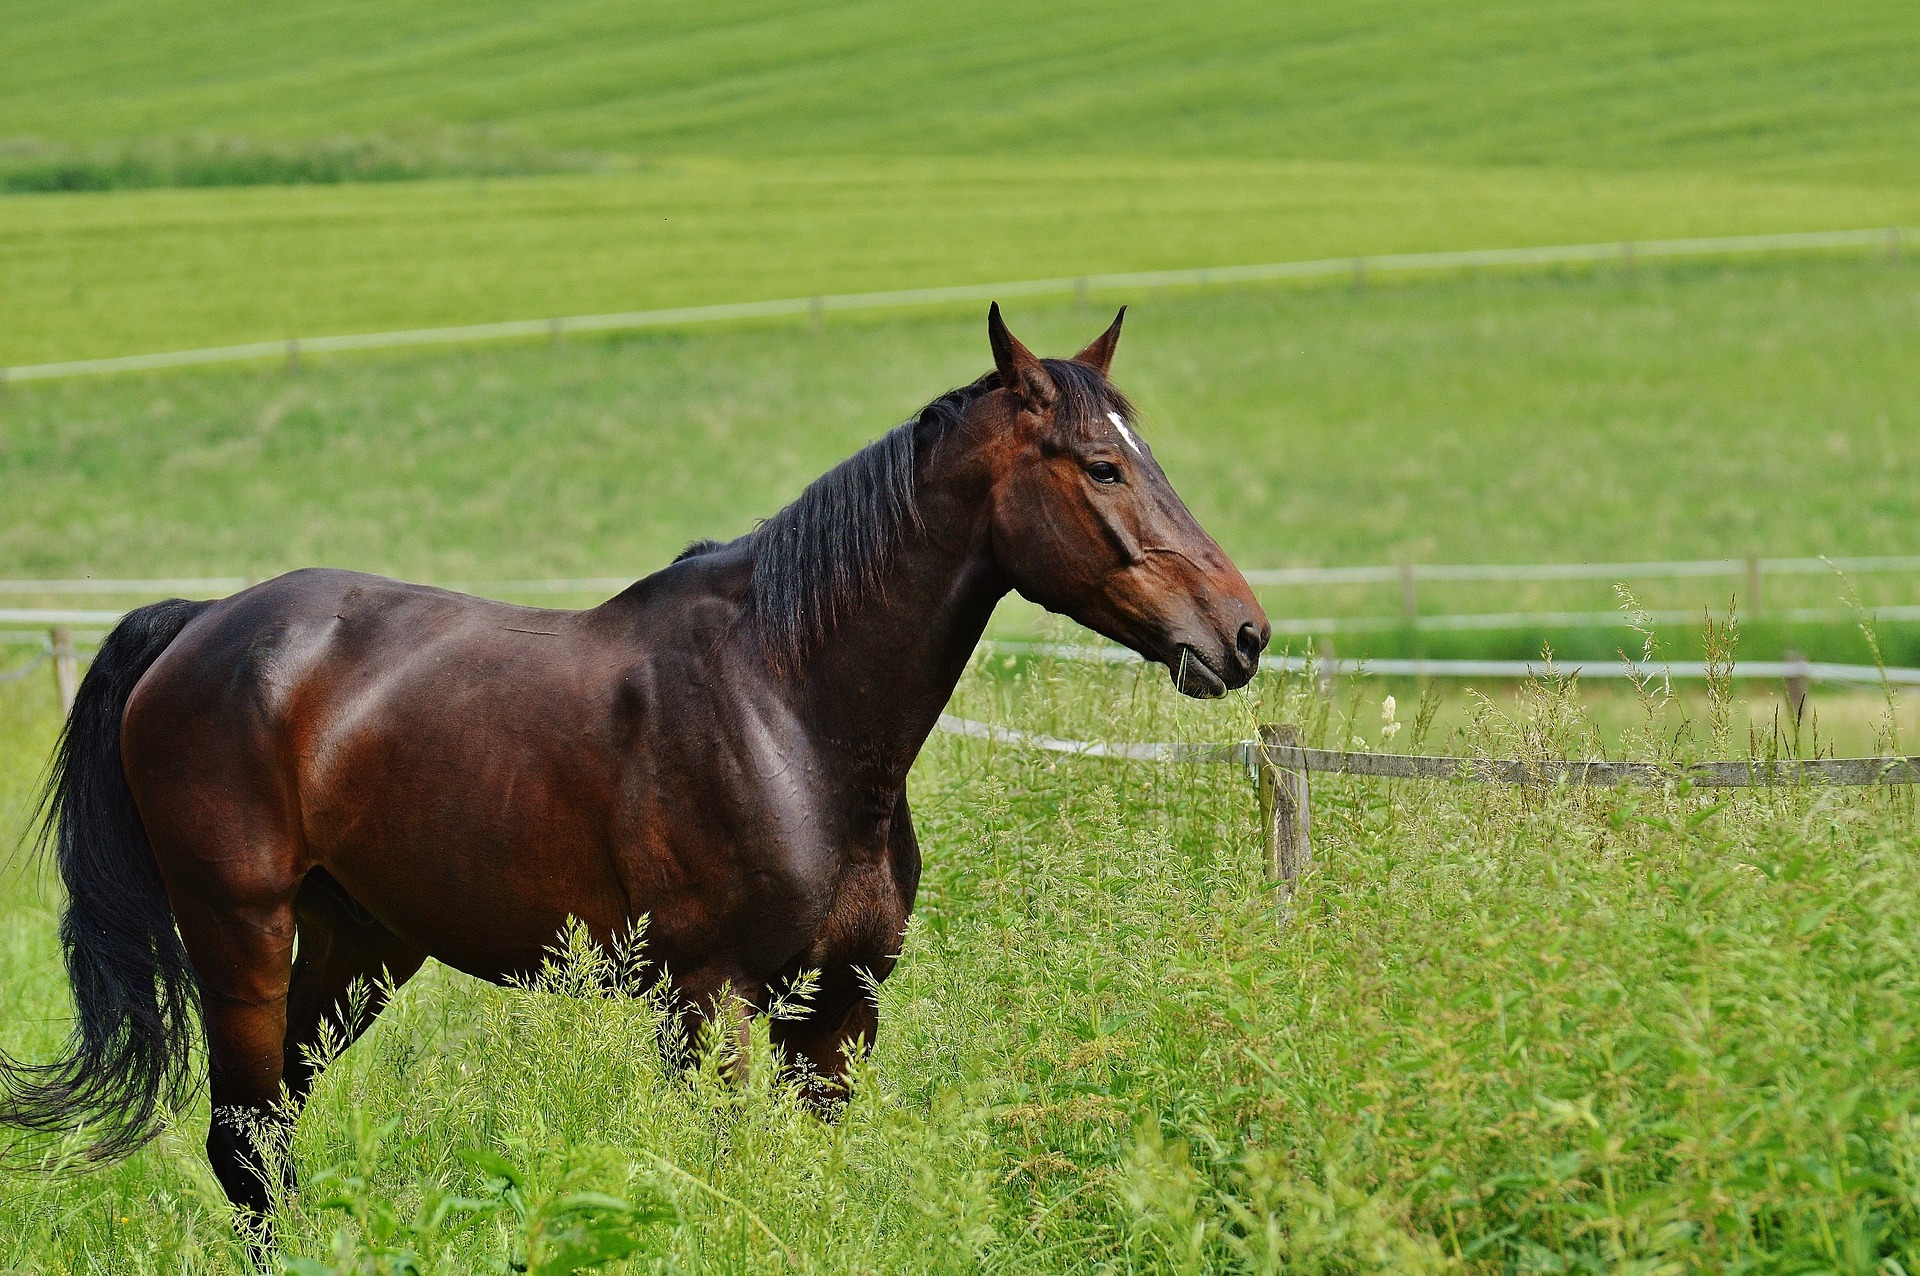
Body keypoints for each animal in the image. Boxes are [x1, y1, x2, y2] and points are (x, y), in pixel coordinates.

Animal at [3, 303, 1274, 1220]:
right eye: (1100, 468)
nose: (1244, 633)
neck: (791, 707)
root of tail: (201, 625)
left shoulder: (840, 1012)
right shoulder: (709, 1002)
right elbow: (726, 1177)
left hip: (361, 949)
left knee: (268, 1139)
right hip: (242, 940)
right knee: (242, 1143)